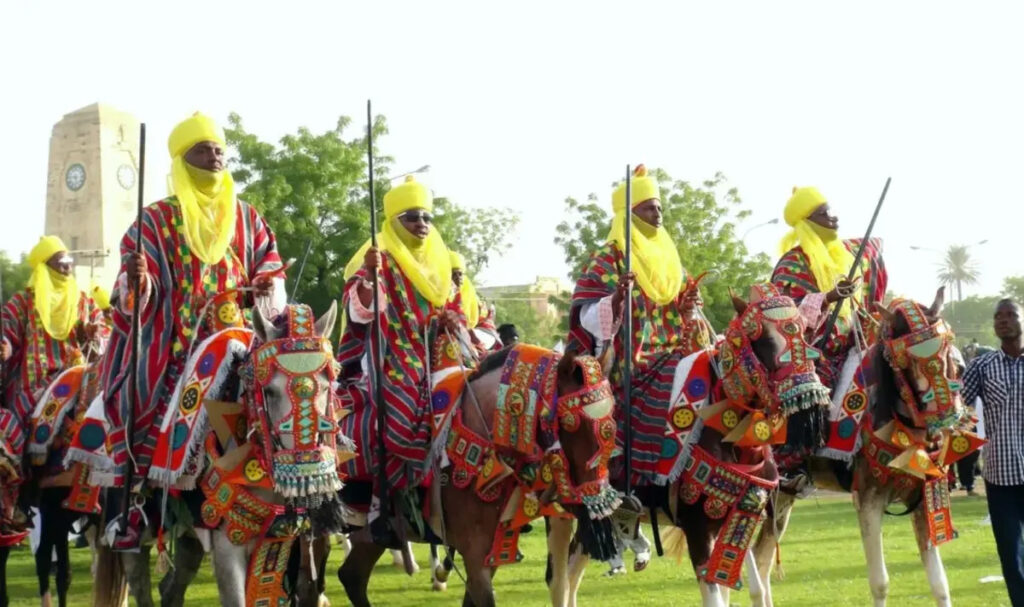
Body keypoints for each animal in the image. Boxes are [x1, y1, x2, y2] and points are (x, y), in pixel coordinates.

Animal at [339, 331, 618, 605]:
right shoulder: (474, 553)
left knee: (351, 576)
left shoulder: (491, 551)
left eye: (612, 421)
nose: (597, 505)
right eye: (570, 423)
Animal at [548, 282, 835, 605]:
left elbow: (754, 588)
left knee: (572, 575)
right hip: (560, 514)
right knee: (559, 580)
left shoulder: (740, 515)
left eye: (803, 332)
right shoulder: (698, 530)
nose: (811, 398)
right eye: (760, 337)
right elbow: (717, 597)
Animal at [745, 286, 974, 601]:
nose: (947, 415)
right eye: (905, 361)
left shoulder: (920, 499)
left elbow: (940, 584)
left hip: (783, 496)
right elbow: (880, 583)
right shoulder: (868, 499)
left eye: (947, 348)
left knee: (763, 560)